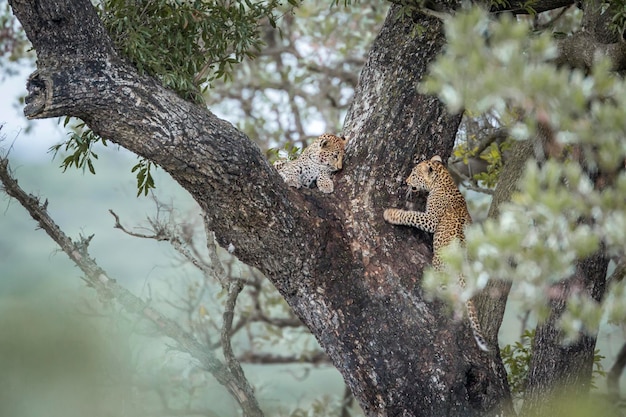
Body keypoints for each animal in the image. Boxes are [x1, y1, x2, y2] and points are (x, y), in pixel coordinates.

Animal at [380, 154, 488, 350]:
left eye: (414, 174)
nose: (406, 181)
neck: (444, 181)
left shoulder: (431, 219)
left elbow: (411, 216)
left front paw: (391, 214)